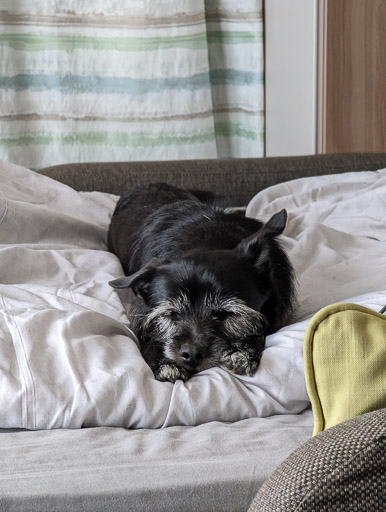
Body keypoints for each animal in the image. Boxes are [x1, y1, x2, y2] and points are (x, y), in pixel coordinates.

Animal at [107, 182, 294, 382]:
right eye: (172, 313)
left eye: (225, 313)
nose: (192, 354)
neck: (206, 241)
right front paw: (166, 364)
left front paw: (242, 351)